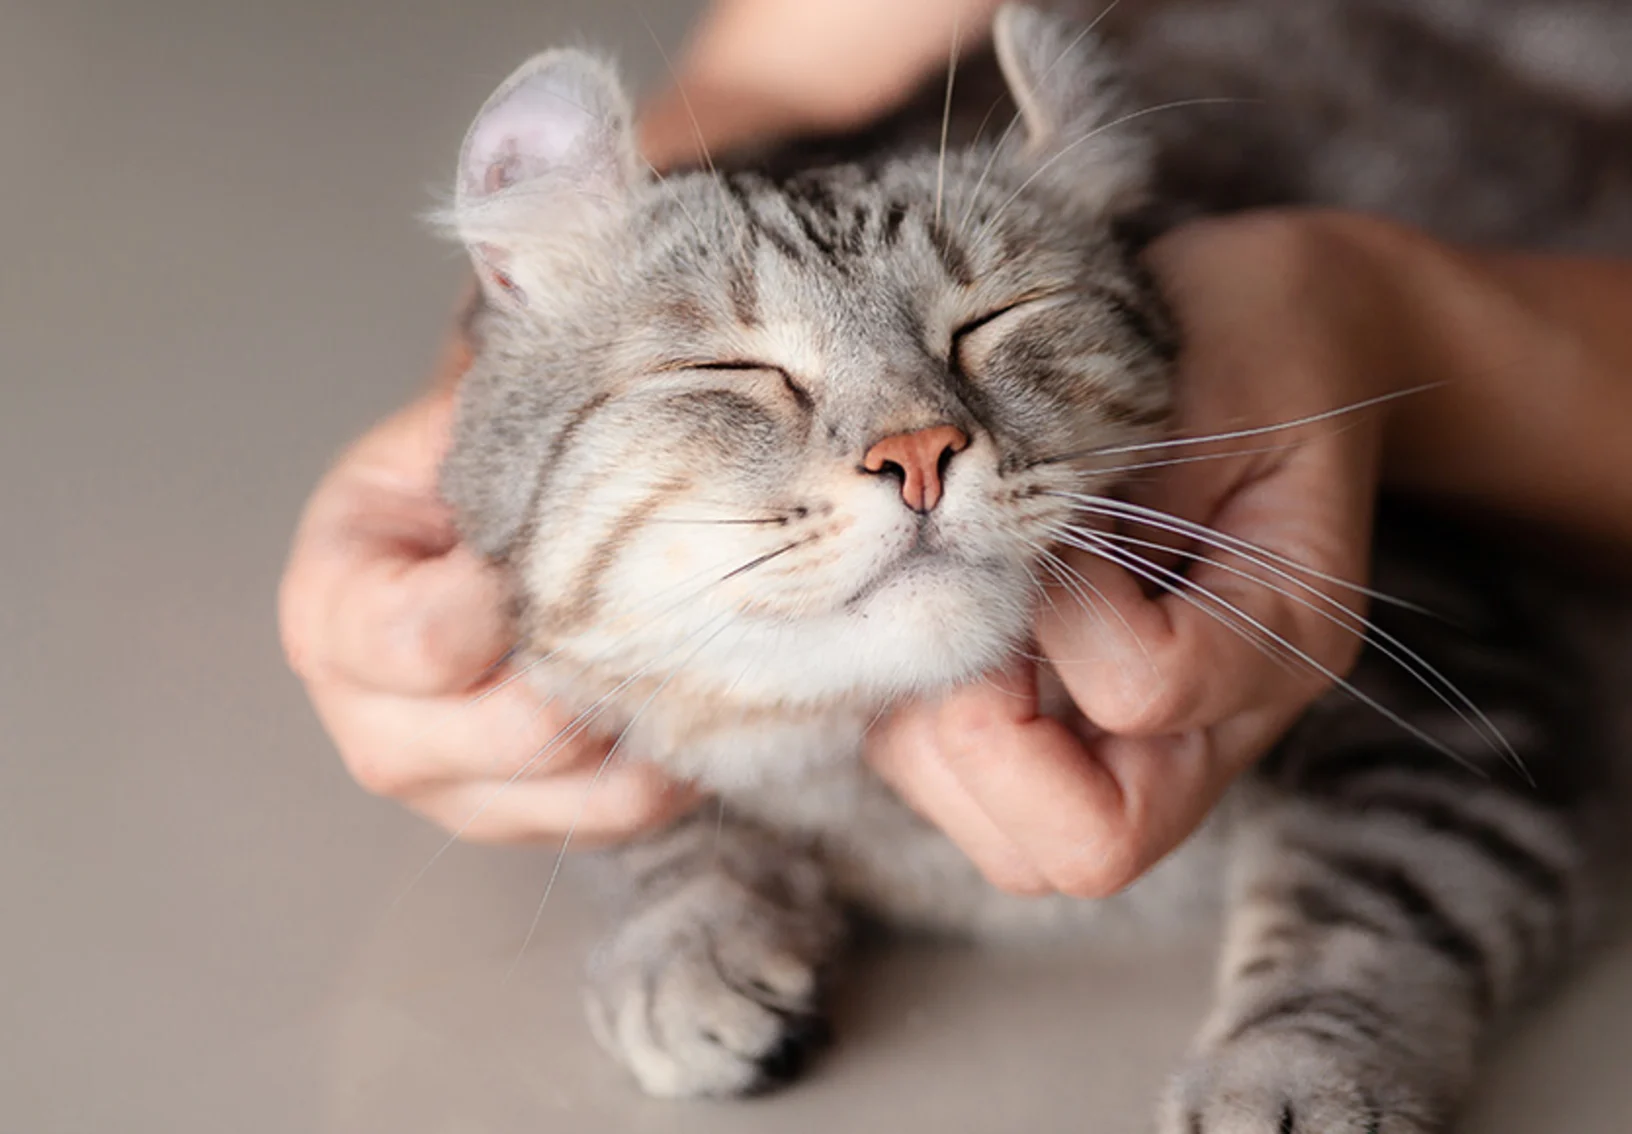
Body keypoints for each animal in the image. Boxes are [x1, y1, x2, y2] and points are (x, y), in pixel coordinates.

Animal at [440, 4, 1625, 1129]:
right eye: (736, 370)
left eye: (992, 322)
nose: (918, 452)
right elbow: (655, 822)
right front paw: (688, 946)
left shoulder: (1458, 688)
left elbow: (1369, 904)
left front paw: (1287, 1074)